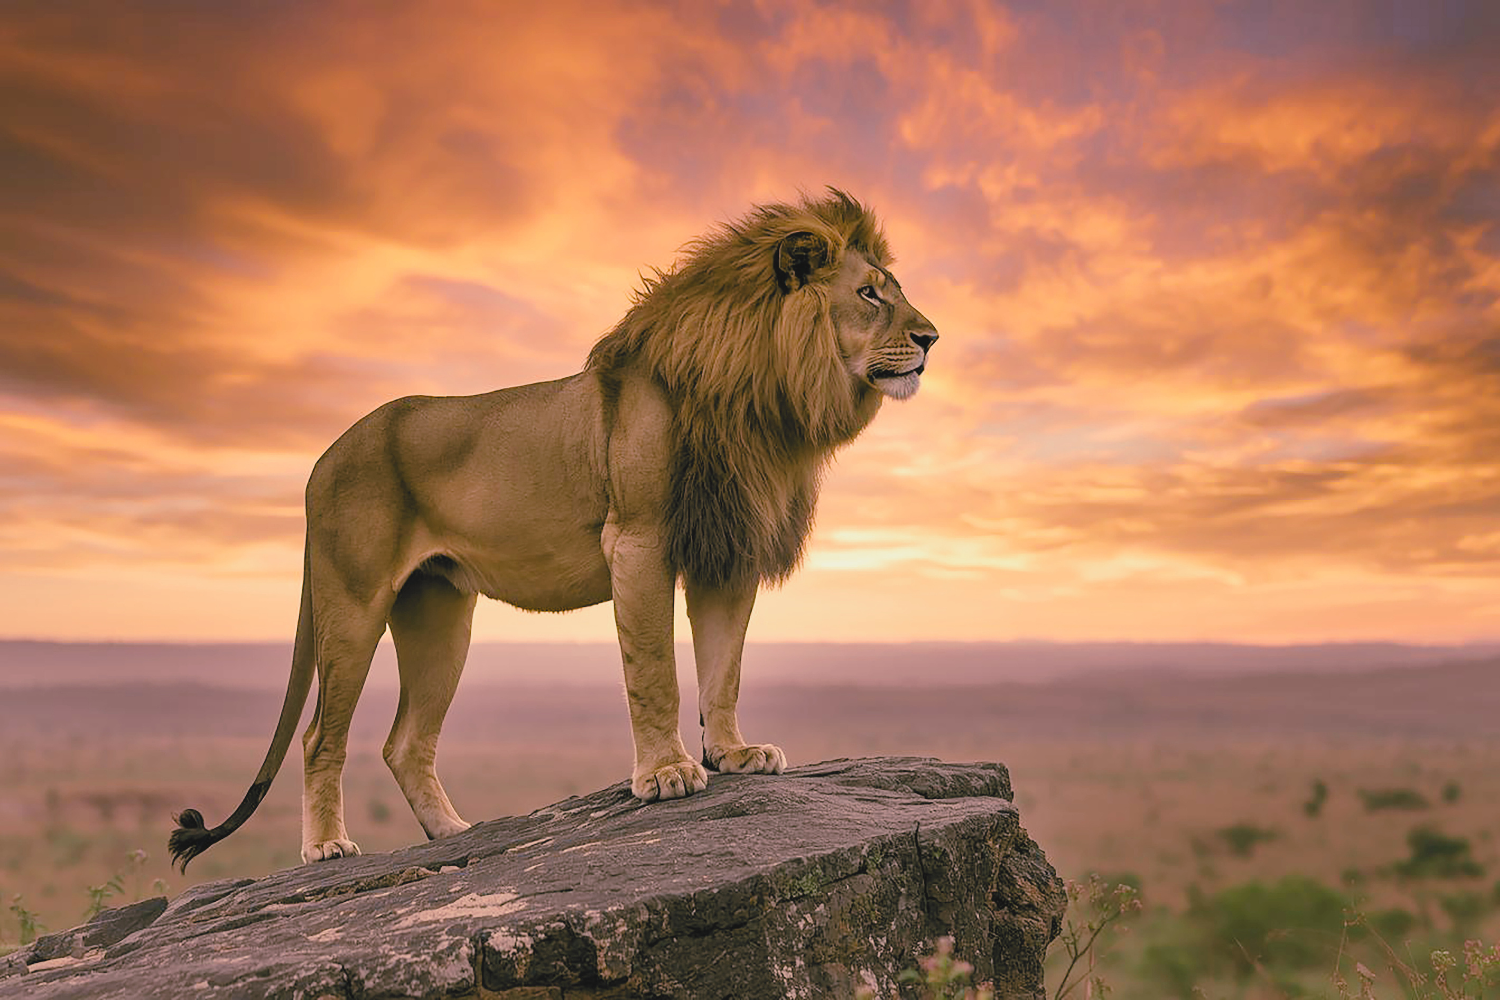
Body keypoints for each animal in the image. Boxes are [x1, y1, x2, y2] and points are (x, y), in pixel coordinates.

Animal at [168, 189, 938, 868]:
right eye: (870, 293)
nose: (931, 338)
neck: (761, 392)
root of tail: (321, 458)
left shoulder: (725, 548)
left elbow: (725, 669)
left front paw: (734, 755)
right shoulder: (638, 539)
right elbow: (655, 670)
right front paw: (667, 774)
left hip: (439, 616)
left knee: (404, 742)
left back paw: (454, 836)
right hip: (352, 604)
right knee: (318, 739)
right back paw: (327, 848)